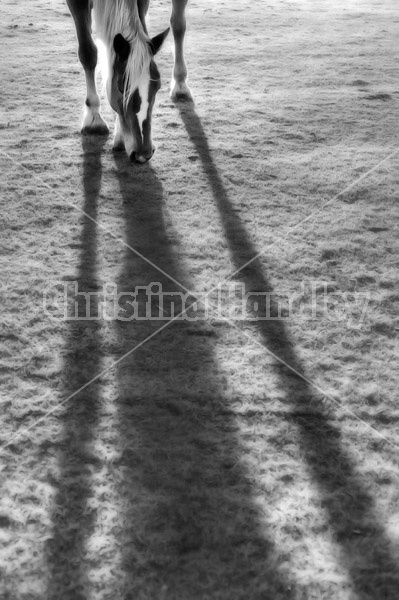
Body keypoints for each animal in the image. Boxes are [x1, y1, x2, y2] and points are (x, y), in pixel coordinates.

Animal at [66, 0, 191, 162]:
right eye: (120, 88)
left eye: (157, 87)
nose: (143, 154)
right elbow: (88, 53)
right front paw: (94, 119)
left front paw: (120, 136)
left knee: (178, 25)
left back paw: (180, 84)